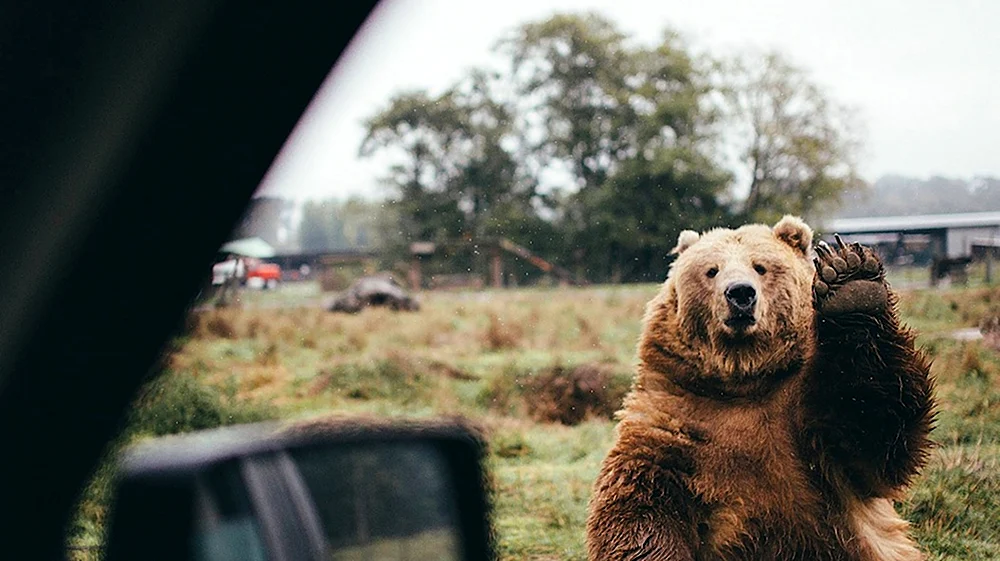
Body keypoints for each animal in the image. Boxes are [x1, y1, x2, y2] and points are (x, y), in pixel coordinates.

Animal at [584, 215, 936, 560]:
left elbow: (871, 426)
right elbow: (641, 502)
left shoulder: (811, 427)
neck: (745, 377)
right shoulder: (677, 416)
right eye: (711, 270)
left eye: (760, 266)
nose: (740, 293)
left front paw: (851, 284)